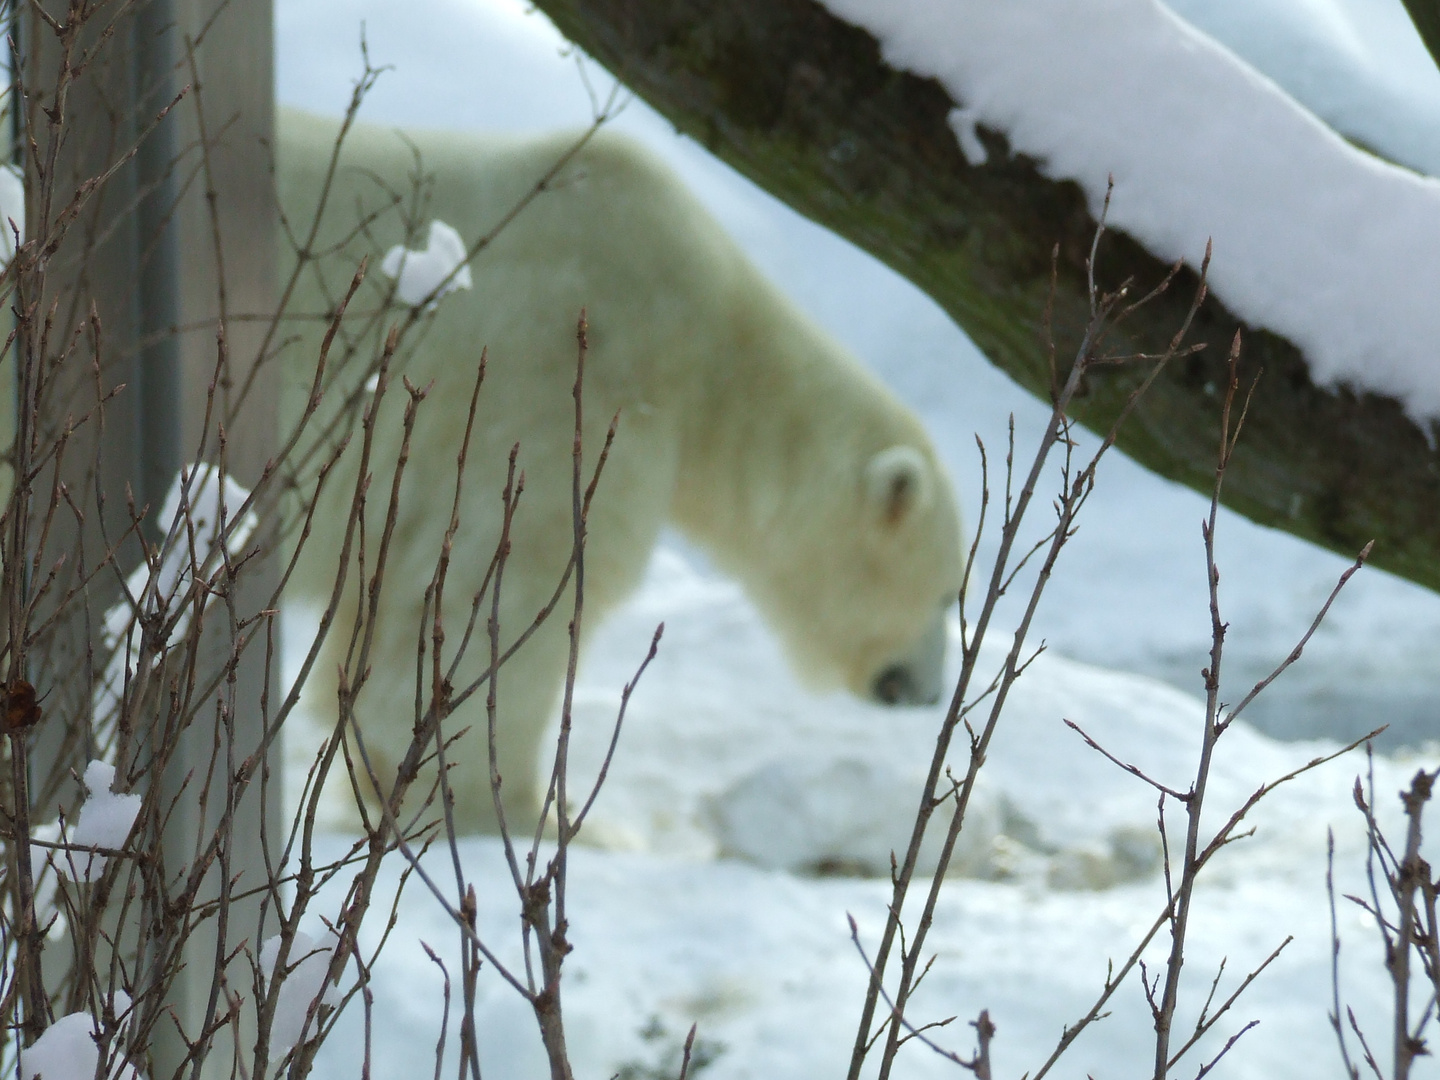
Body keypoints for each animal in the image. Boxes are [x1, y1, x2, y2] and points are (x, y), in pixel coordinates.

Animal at [276, 114, 961, 835]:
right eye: (948, 593)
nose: (926, 693)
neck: (709, 342)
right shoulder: (568, 387)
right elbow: (515, 586)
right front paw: (532, 815)